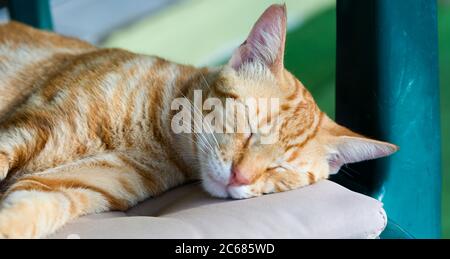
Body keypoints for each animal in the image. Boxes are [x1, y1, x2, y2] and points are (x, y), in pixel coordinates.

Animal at [0, 4, 398, 240]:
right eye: (249, 129)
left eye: (280, 168)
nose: (240, 178)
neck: (154, 133)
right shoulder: (26, 131)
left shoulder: (62, 188)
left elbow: (24, 217)